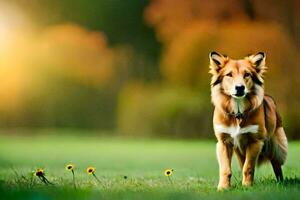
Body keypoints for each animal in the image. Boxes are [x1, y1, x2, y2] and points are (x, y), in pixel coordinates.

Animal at [209, 52, 288, 191]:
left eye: (247, 74)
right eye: (229, 74)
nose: (240, 88)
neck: (238, 113)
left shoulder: (255, 142)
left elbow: (249, 167)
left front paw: (246, 187)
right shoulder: (223, 143)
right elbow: (226, 169)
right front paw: (223, 187)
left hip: (276, 147)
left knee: (277, 165)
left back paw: (280, 183)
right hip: (240, 151)